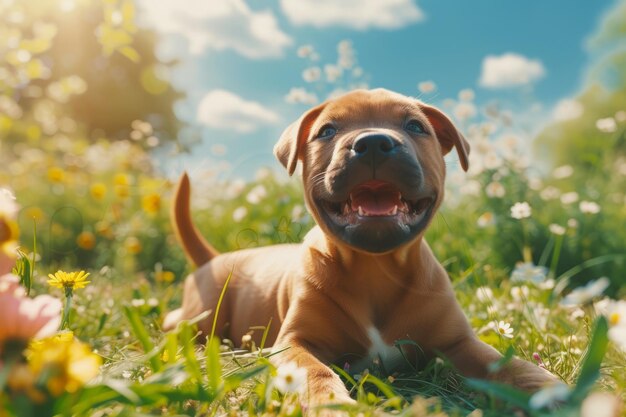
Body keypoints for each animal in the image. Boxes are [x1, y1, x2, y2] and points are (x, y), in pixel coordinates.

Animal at [162, 88, 556, 410]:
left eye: (415, 126)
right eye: (326, 131)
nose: (374, 142)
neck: (374, 268)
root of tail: (213, 258)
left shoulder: (459, 342)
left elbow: (509, 366)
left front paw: (551, 391)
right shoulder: (294, 343)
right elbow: (313, 373)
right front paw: (329, 404)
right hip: (200, 317)